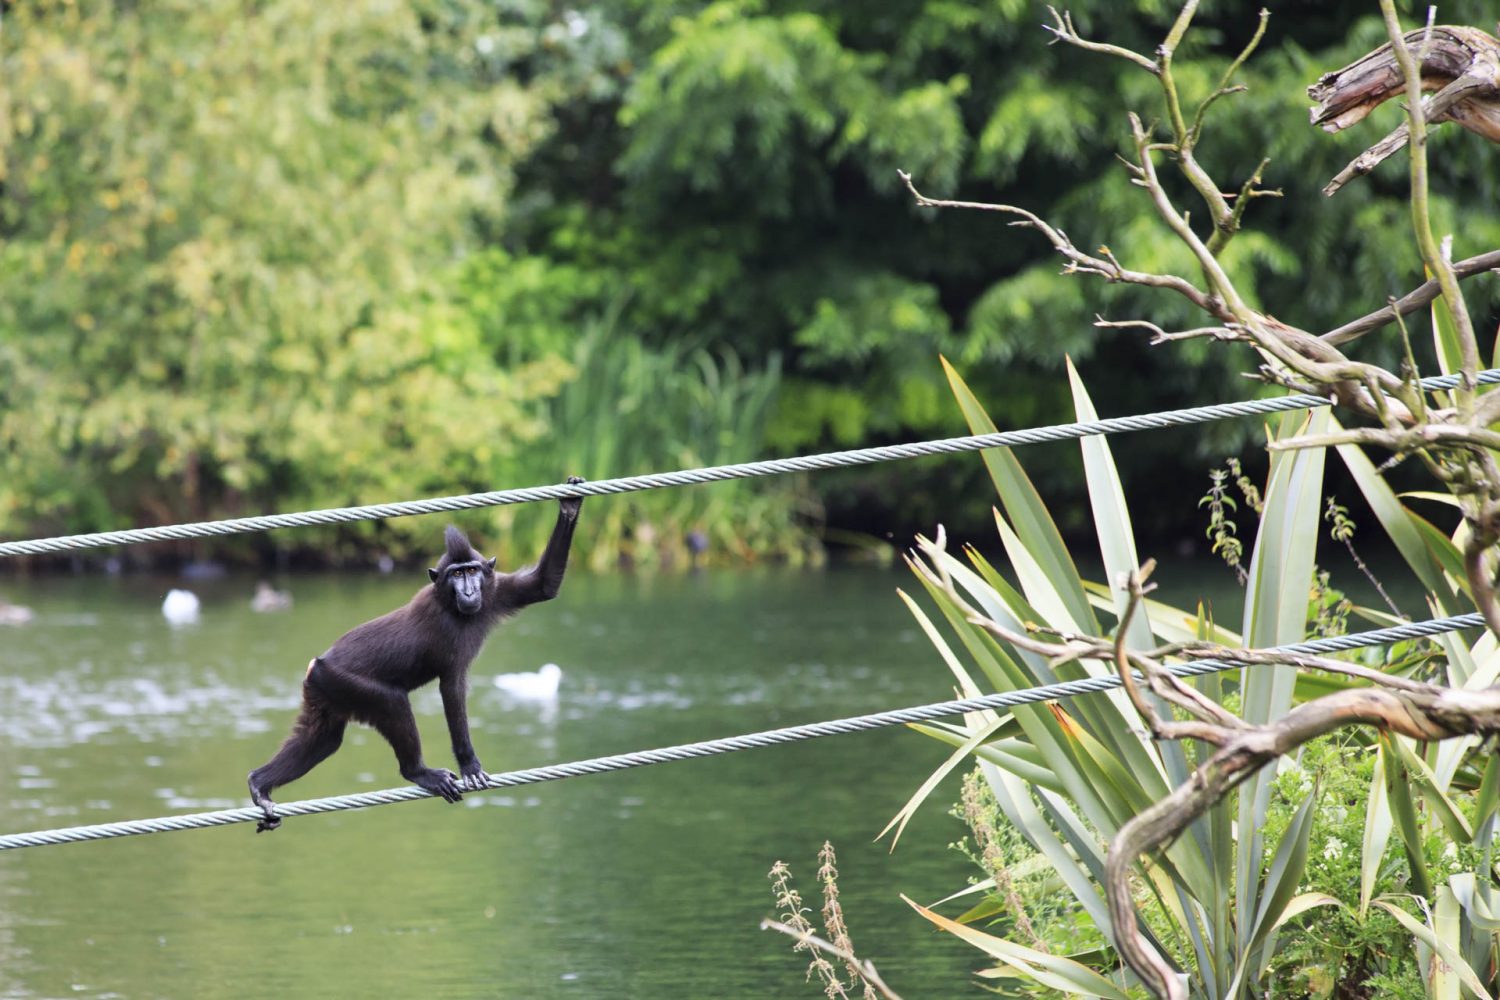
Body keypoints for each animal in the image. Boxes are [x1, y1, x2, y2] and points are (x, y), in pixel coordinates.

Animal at [247, 478, 585, 833]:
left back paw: (260, 785)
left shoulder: (495, 591)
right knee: (391, 703)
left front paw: (570, 504)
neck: (454, 606)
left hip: (325, 693)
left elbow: (542, 586)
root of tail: (318, 665)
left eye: (472, 571)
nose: (469, 591)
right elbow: (451, 690)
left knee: (322, 739)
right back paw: (418, 772)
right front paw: (469, 765)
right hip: (344, 682)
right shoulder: (447, 631)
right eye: (456, 574)